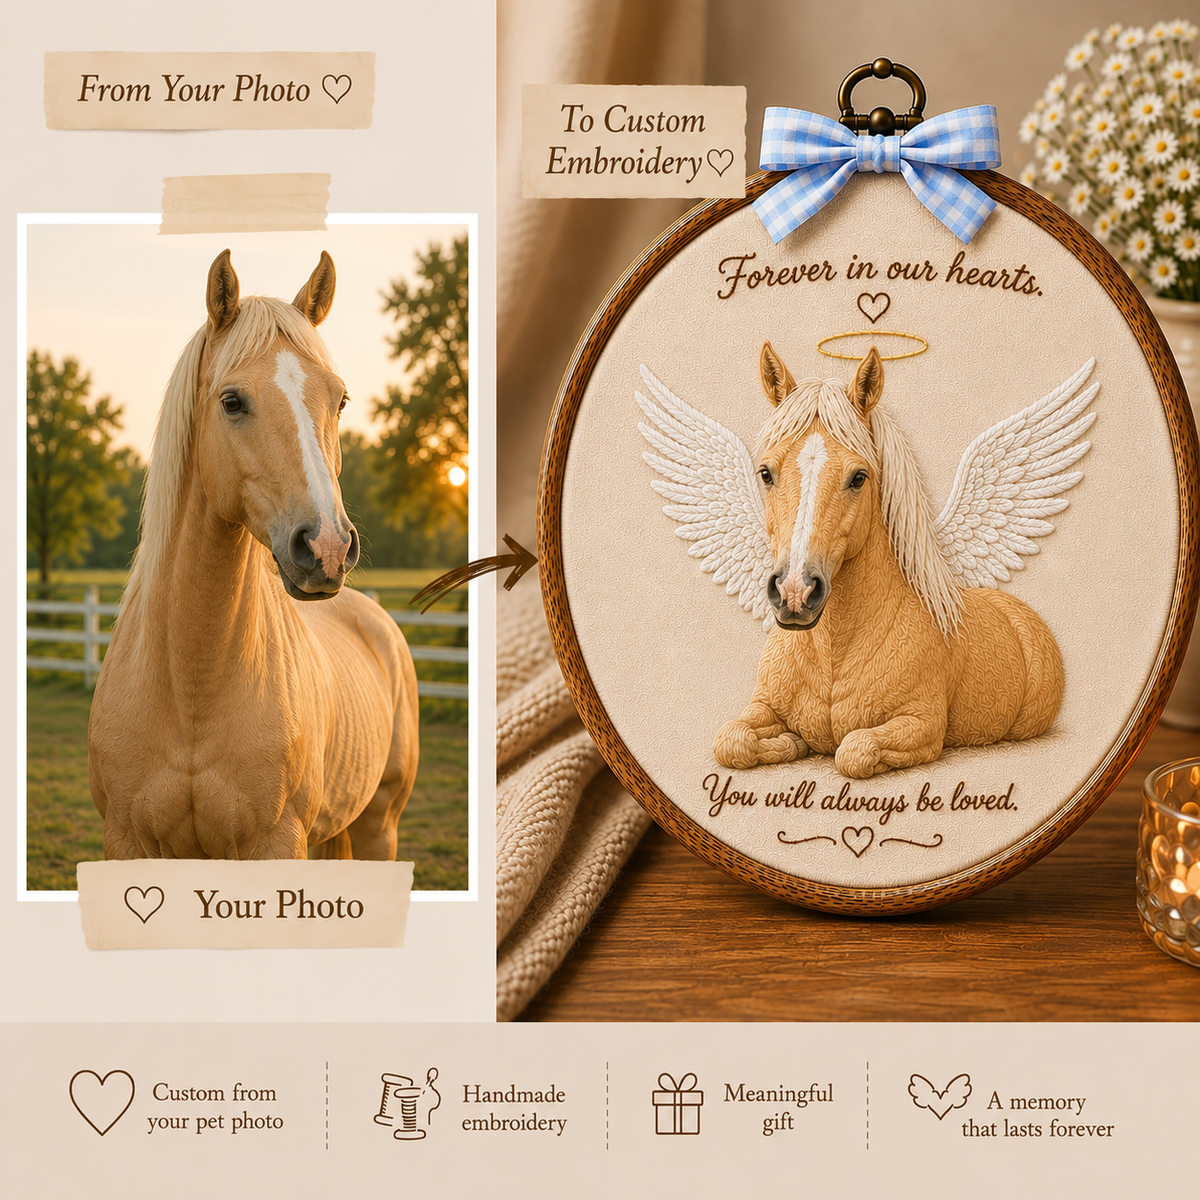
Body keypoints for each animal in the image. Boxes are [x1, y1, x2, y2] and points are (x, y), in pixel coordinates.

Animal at [88, 249, 419, 859]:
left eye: (340, 399)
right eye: (232, 401)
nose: (327, 546)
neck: (191, 689)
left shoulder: (276, 843)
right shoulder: (125, 840)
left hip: (378, 826)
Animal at [712, 345, 1065, 779]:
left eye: (858, 477)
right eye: (765, 472)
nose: (795, 591)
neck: (833, 653)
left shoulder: (921, 724)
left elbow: (853, 750)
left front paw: (796, 743)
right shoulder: (760, 707)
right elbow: (731, 740)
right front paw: (789, 742)